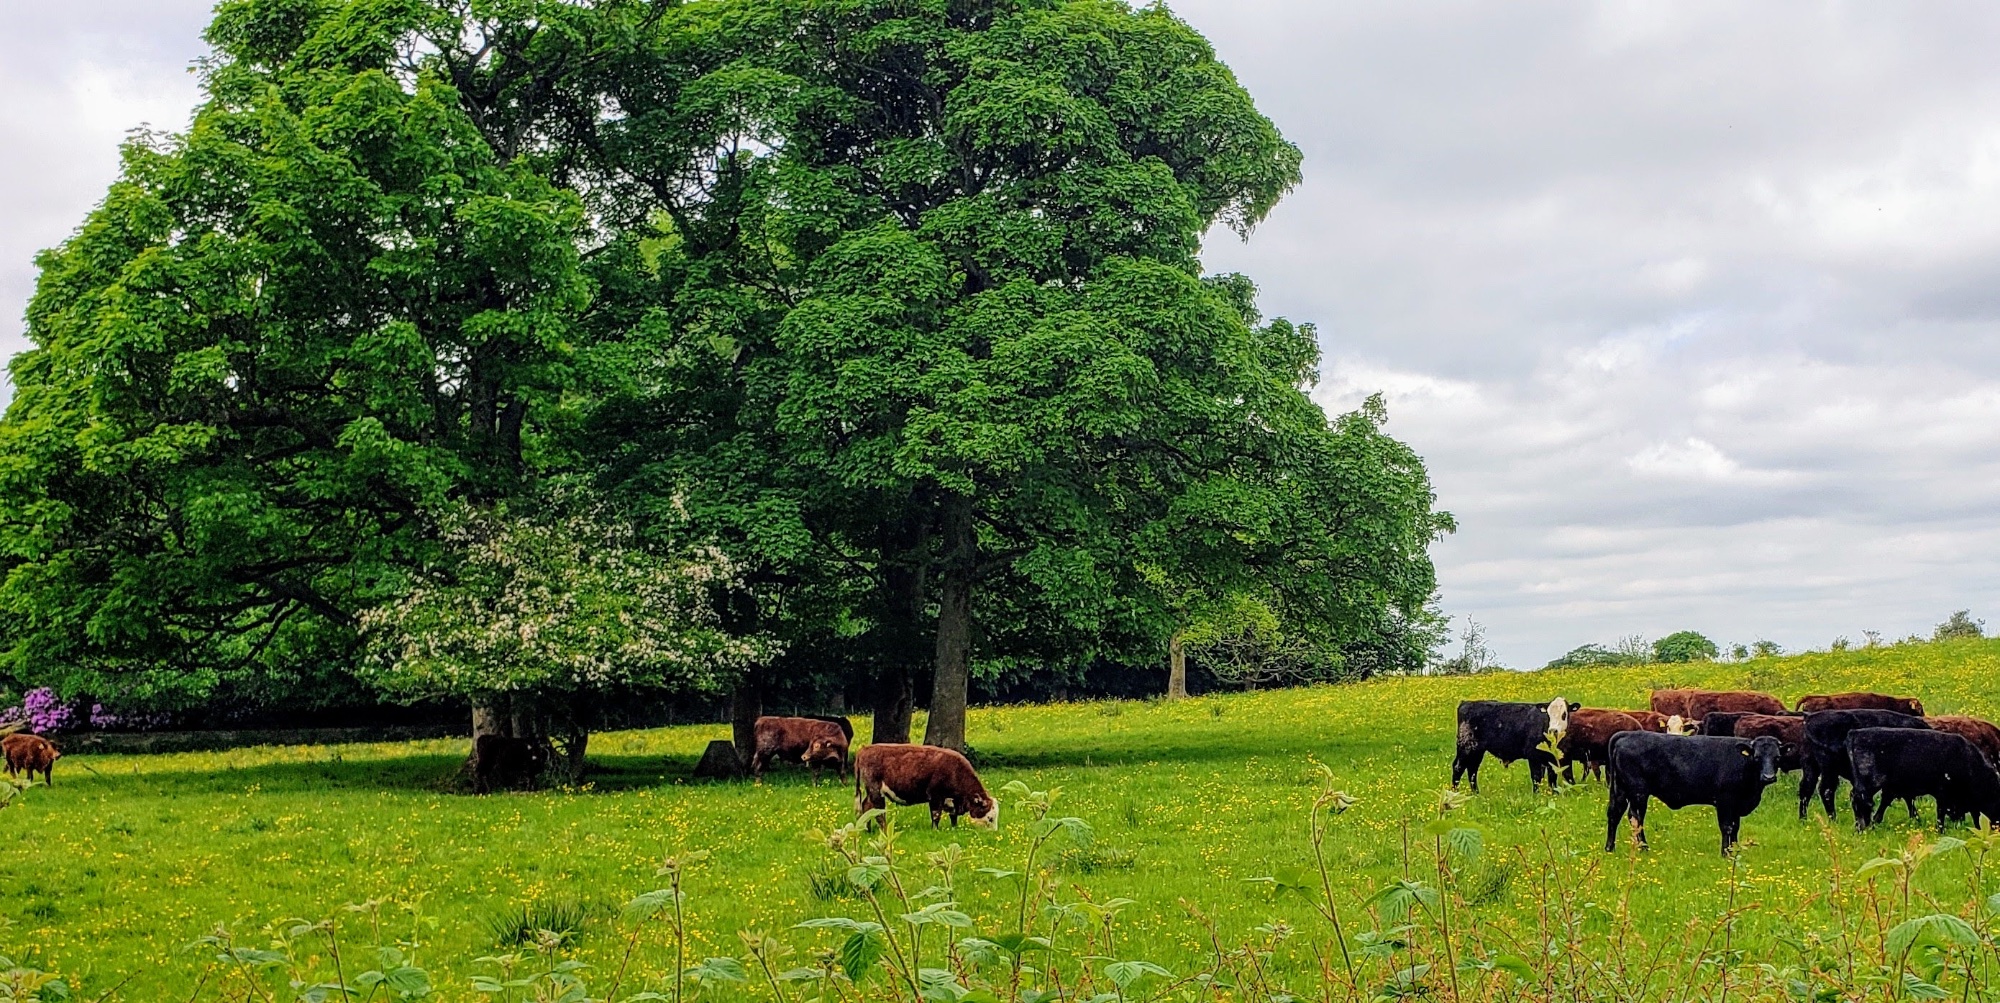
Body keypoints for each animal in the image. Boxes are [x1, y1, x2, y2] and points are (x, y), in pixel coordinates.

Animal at [854, 744, 998, 829]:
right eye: (990, 818)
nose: (994, 833)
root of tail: (865, 748)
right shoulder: (935, 796)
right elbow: (936, 815)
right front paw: (935, 829)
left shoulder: (950, 800)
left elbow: (953, 816)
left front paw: (954, 828)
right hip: (876, 791)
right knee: (878, 812)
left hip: (871, 792)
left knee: (866, 806)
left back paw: (867, 829)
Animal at [1605, 731, 1783, 854]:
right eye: (1757, 757)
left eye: (1777, 757)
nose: (1769, 777)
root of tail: (1628, 734)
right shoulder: (1725, 801)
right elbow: (1727, 827)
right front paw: (1725, 853)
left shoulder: (1736, 805)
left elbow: (1735, 827)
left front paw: (1735, 850)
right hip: (1638, 793)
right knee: (1636, 817)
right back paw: (1644, 848)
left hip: (1620, 790)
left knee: (1615, 813)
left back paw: (1610, 848)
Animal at [1799, 709, 1931, 820]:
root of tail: (1810, 717)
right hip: (1829, 768)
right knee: (1826, 790)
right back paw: (1833, 819)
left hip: (1812, 766)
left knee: (1806, 788)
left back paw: (1803, 819)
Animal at [1848, 728, 2000, 831]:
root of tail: (1856, 732)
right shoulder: (1943, 793)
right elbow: (1941, 813)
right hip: (1871, 783)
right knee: (1861, 801)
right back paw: (1862, 827)